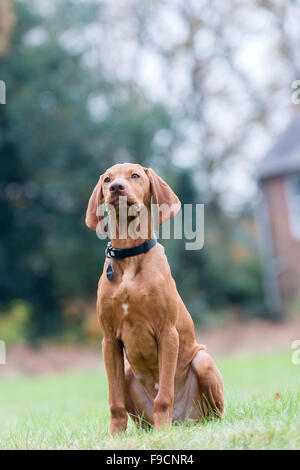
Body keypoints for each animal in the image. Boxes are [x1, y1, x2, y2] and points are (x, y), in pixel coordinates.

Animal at [85, 163, 224, 436]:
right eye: (107, 180)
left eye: (135, 175)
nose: (116, 187)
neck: (129, 255)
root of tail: (184, 421)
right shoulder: (109, 340)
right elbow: (115, 400)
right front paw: (114, 436)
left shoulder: (167, 332)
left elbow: (164, 396)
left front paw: (163, 433)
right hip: (129, 374)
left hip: (202, 361)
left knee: (215, 414)